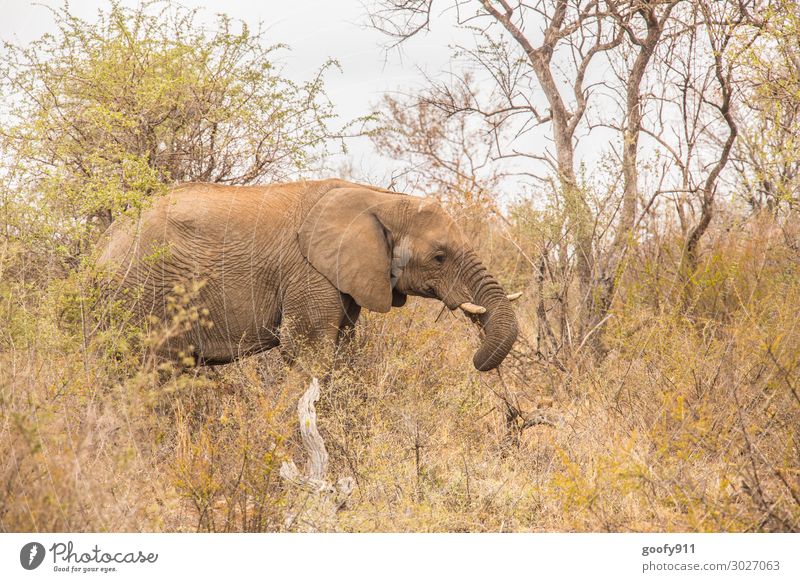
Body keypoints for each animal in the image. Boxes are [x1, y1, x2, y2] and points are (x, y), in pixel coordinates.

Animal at [95, 178, 520, 372]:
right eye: (439, 257)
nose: (476, 360)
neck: (378, 198)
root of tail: (108, 240)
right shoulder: (309, 273)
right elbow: (306, 351)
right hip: (141, 293)